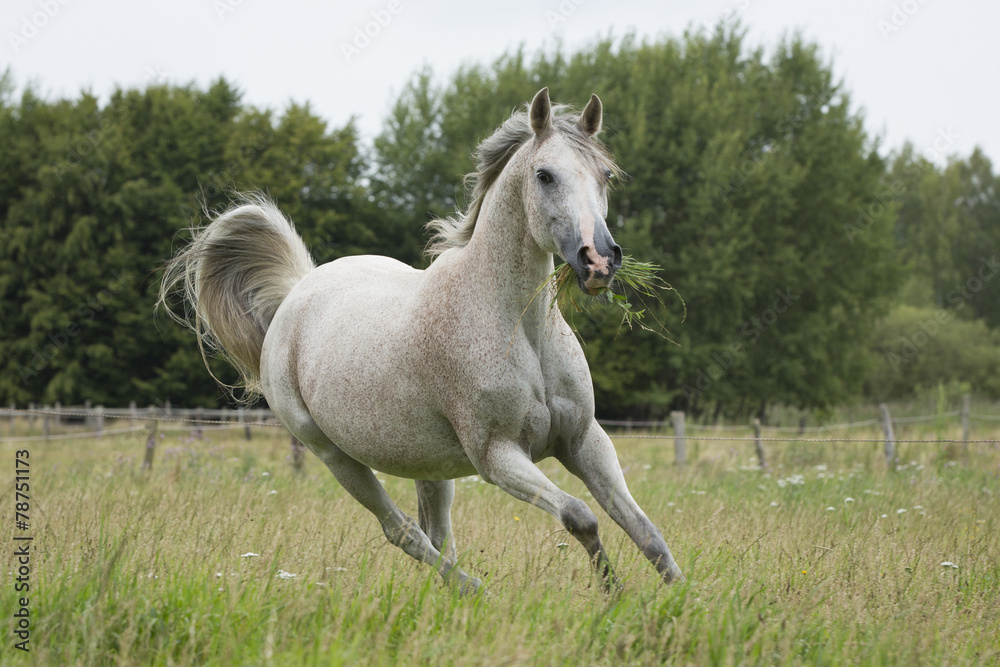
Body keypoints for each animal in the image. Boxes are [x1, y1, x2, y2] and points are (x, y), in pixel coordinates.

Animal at [160, 87, 684, 588]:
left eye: (605, 175)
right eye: (544, 175)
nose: (599, 260)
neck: (520, 330)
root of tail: (298, 290)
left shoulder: (583, 439)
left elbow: (644, 528)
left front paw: (680, 596)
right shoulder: (497, 456)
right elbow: (581, 516)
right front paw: (614, 592)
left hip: (428, 464)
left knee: (437, 534)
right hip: (335, 456)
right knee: (404, 532)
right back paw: (474, 590)